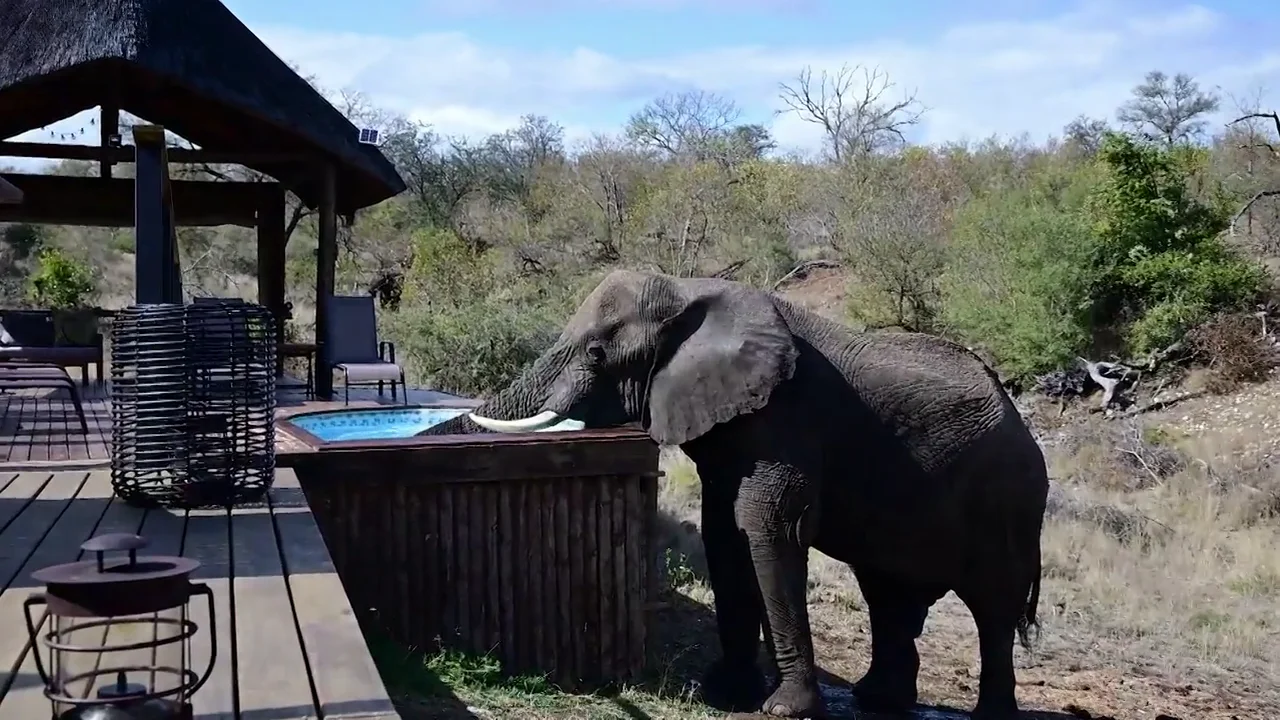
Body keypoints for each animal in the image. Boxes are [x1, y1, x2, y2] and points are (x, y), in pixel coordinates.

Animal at [420, 269, 1048, 719]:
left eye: (598, 354)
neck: (689, 292)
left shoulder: (788, 419)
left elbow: (770, 529)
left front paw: (783, 710)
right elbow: (726, 534)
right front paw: (724, 693)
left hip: (1010, 499)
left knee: (992, 606)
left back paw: (987, 717)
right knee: (888, 593)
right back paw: (877, 700)